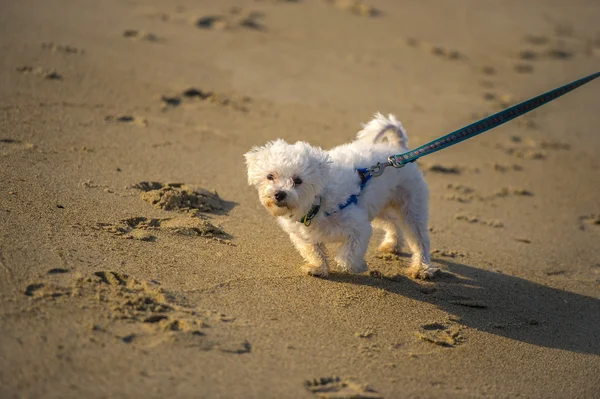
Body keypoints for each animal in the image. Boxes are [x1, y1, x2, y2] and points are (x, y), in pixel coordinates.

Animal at [243, 112, 436, 280]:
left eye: (298, 181)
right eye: (270, 176)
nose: (279, 194)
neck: (317, 203)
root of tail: (397, 149)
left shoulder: (358, 227)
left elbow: (348, 256)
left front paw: (356, 267)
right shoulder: (303, 236)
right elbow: (314, 252)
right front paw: (318, 268)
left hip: (410, 208)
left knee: (420, 240)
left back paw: (421, 268)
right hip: (377, 207)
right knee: (392, 222)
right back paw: (392, 245)